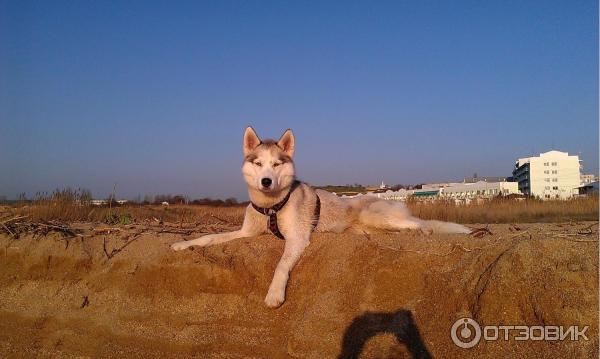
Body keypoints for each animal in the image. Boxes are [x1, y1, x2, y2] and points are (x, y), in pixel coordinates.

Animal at [171, 129, 472, 310]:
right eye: (258, 164)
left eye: (277, 164)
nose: (266, 181)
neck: (271, 207)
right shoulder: (245, 232)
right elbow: (210, 237)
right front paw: (184, 244)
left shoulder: (296, 238)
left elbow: (281, 266)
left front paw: (274, 293)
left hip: (375, 214)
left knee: (422, 224)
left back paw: (420, 232)